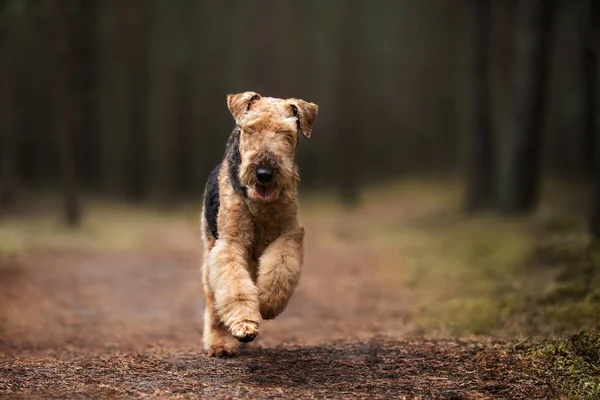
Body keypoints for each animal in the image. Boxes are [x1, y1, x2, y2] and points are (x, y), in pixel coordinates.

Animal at [199, 90, 318, 356]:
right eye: (251, 128)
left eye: (286, 133)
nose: (264, 173)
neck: (260, 205)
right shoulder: (230, 243)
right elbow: (235, 287)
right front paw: (245, 324)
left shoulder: (288, 234)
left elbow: (279, 270)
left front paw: (267, 304)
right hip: (210, 253)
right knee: (214, 302)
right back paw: (220, 343)